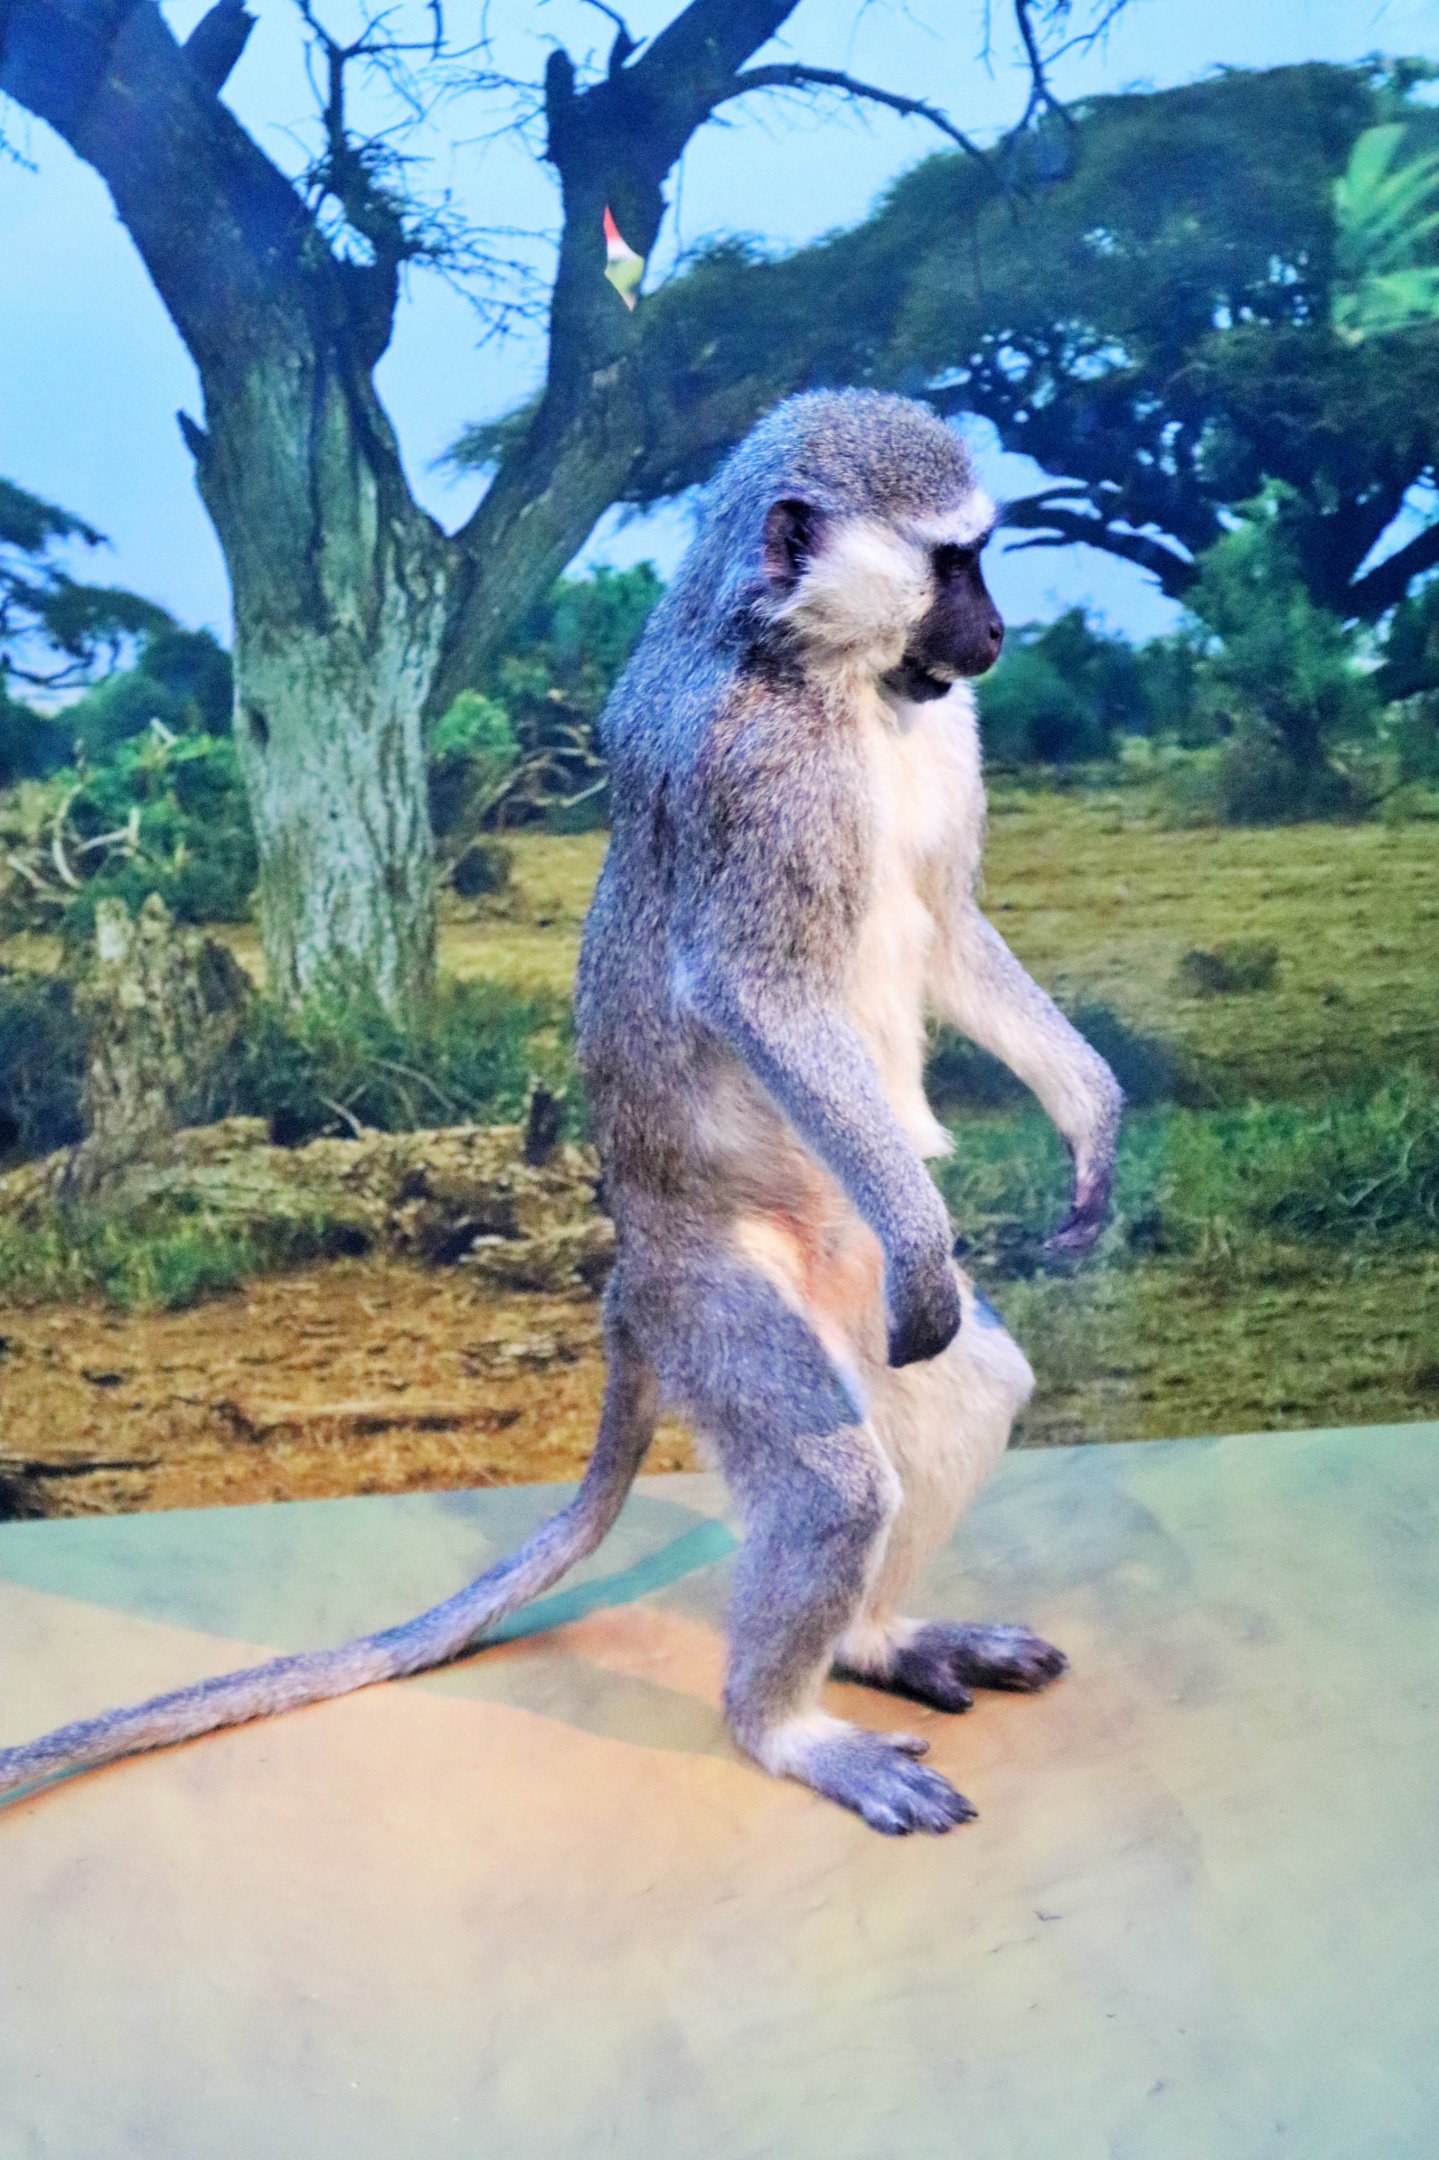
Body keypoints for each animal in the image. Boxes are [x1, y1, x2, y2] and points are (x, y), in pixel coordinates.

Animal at [0, 391, 1121, 1835]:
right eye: (953, 563)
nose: (992, 638)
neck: (825, 679)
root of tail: (633, 1273)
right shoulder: (760, 776)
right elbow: (753, 987)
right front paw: (937, 1234)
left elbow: (941, 927)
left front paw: (1089, 1119)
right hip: (719, 1302)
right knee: (829, 1481)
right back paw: (785, 1729)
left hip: (838, 1297)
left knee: (971, 1391)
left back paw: (874, 1640)